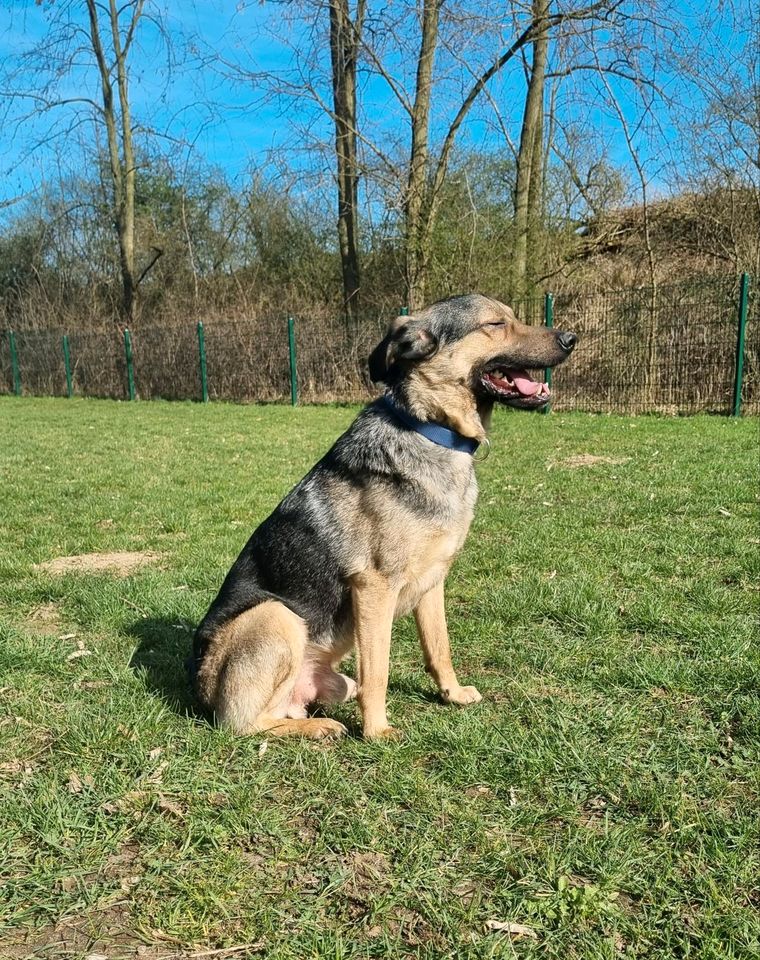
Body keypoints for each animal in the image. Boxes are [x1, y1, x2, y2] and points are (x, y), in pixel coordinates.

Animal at [191, 296, 576, 740]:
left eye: (512, 316)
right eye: (496, 324)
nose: (571, 339)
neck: (429, 429)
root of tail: (201, 693)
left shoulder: (433, 583)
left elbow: (439, 647)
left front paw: (452, 694)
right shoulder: (374, 588)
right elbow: (379, 669)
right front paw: (377, 731)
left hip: (335, 680)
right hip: (276, 616)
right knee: (242, 724)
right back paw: (320, 728)